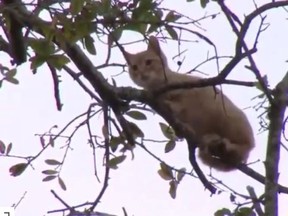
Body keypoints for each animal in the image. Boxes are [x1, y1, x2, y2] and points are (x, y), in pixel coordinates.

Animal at [124, 35, 254, 172]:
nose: (141, 74)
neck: (158, 86)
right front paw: (182, 129)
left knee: (245, 147)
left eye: (148, 62)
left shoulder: (192, 91)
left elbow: (181, 104)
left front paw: (172, 106)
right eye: (134, 67)